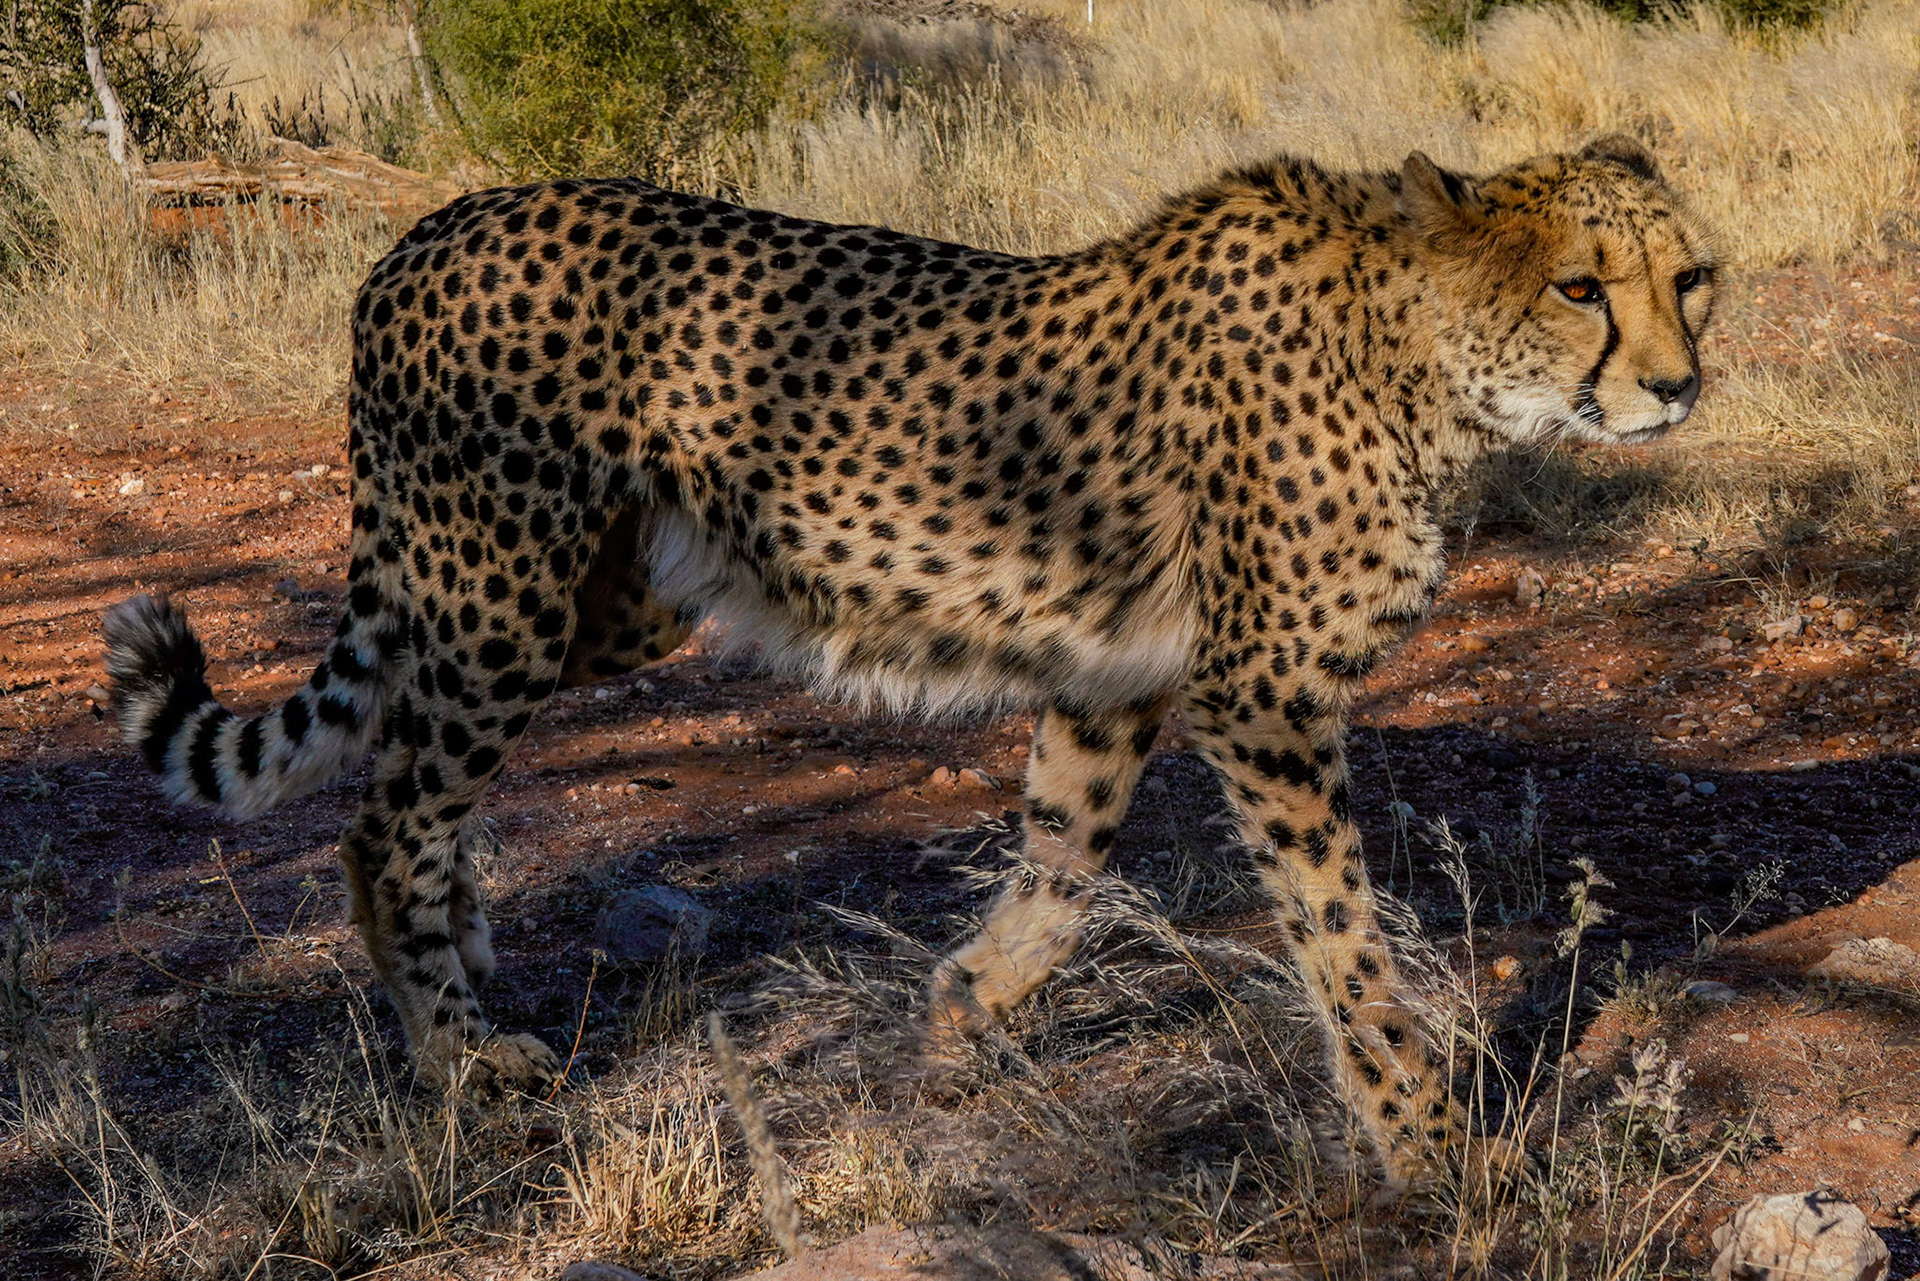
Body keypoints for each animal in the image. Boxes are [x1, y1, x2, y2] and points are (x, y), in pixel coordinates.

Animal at [103, 133, 1717, 1192]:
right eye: (1582, 288)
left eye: (1692, 279)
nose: (1678, 385)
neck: (1421, 357)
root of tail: (425, 227)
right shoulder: (1258, 693)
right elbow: (1338, 930)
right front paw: (1420, 1138)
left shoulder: (1118, 676)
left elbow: (1063, 863)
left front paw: (960, 1015)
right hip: (499, 587)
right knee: (383, 819)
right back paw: (456, 1055)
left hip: (589, 603)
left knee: (409, 762)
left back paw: (474, 959)